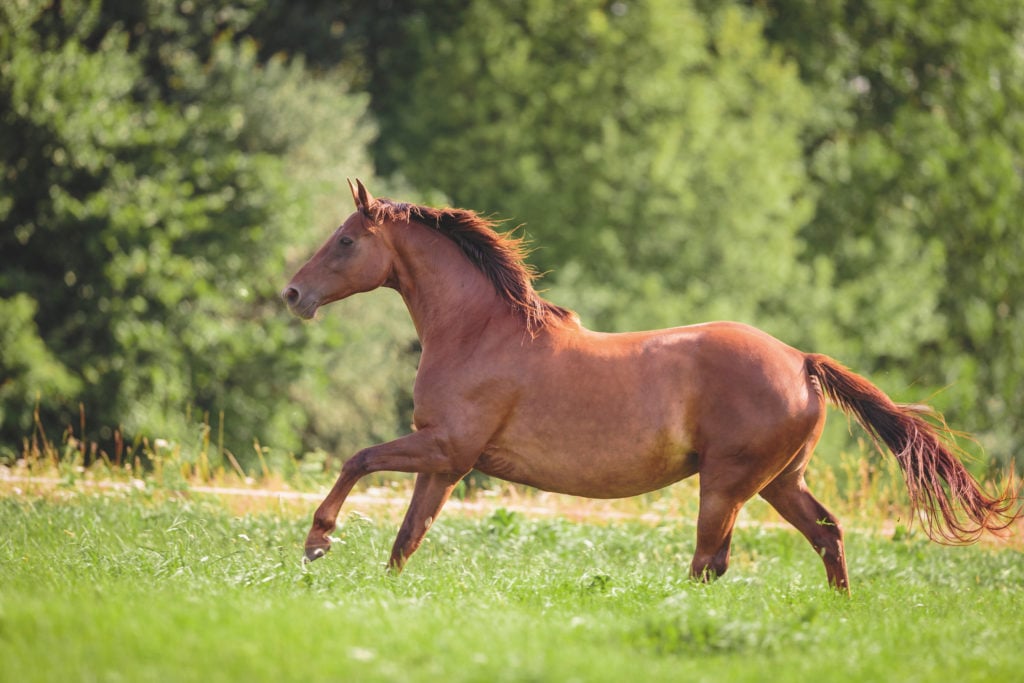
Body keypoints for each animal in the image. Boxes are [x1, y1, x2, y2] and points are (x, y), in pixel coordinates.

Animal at [280, 179, 1015, 589]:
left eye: (345, 240)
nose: (292, 293)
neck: (478, 331)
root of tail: (801, 360)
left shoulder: (444, 448)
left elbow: (358, 460)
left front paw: (317, 541)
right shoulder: (447, 462)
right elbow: (407, 537)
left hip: (726, 483)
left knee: (710, 559)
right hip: (778, 482)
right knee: (825, 535)